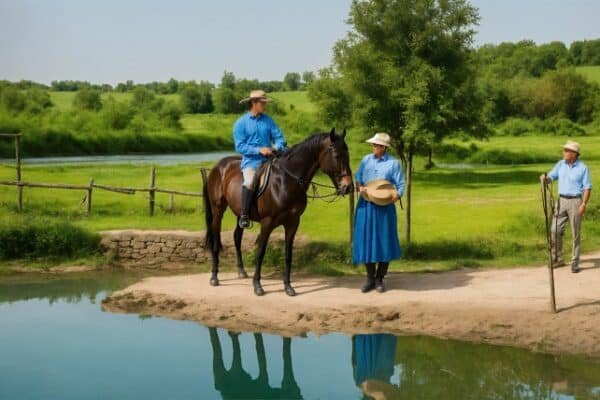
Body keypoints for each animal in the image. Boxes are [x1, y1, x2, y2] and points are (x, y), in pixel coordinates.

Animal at [203, 130, 352, 296]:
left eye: (348, 154)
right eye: (337, 155)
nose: (348, 187)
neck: (286, 182)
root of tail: (218, 166)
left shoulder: (293, 222)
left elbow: (288, 254)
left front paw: (288, 286)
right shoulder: (267, 223)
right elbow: (261, 252)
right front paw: (257, 286)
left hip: (240, 214)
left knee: (236, 237)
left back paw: (241, 271)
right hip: (218, 210)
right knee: (215, 239)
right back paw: (214, 277)